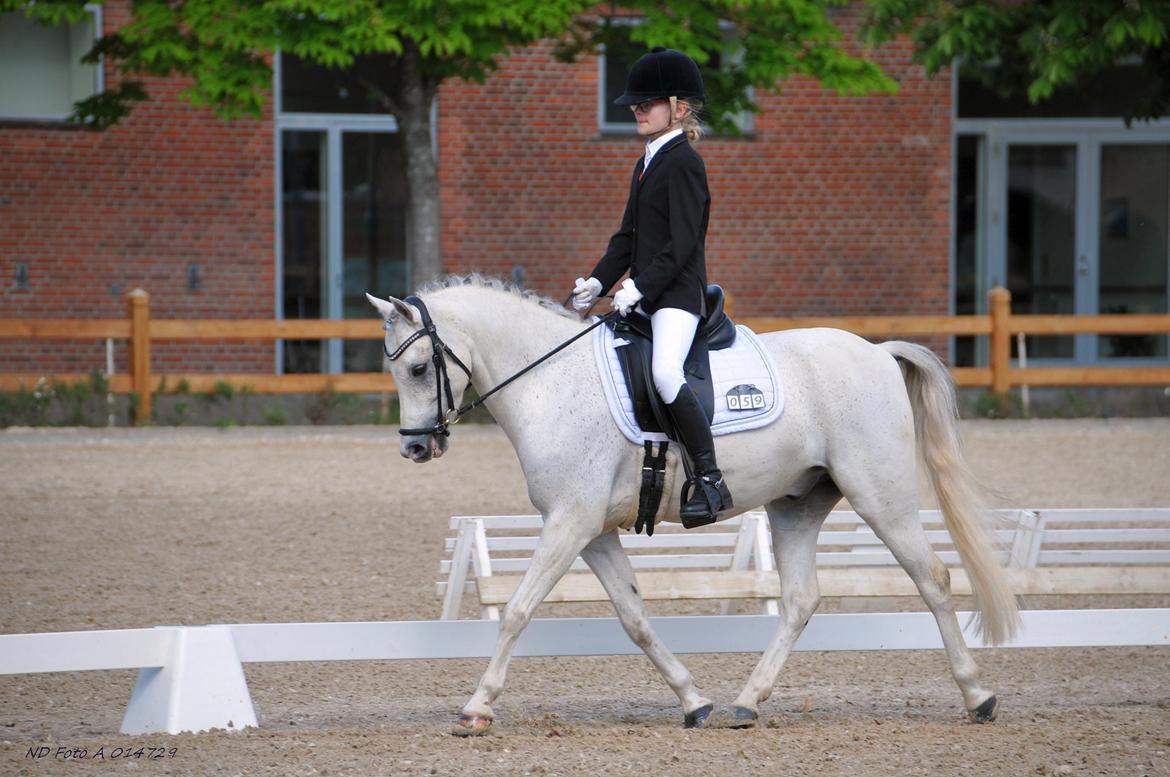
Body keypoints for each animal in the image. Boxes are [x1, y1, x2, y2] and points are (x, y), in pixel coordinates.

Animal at [366, 275, 1019, 735]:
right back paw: (746, 703)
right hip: (796, 504)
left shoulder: (569, 522)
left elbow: (518, 611)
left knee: (933, 577)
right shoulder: (592, 531)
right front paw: (694, 701)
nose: (416, 447)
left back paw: (978, 696)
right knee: (800, 600)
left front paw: (476, 708)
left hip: (880, 495)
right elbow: (634, 618)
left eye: (419, 368)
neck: (549, 382)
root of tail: (879, 351)